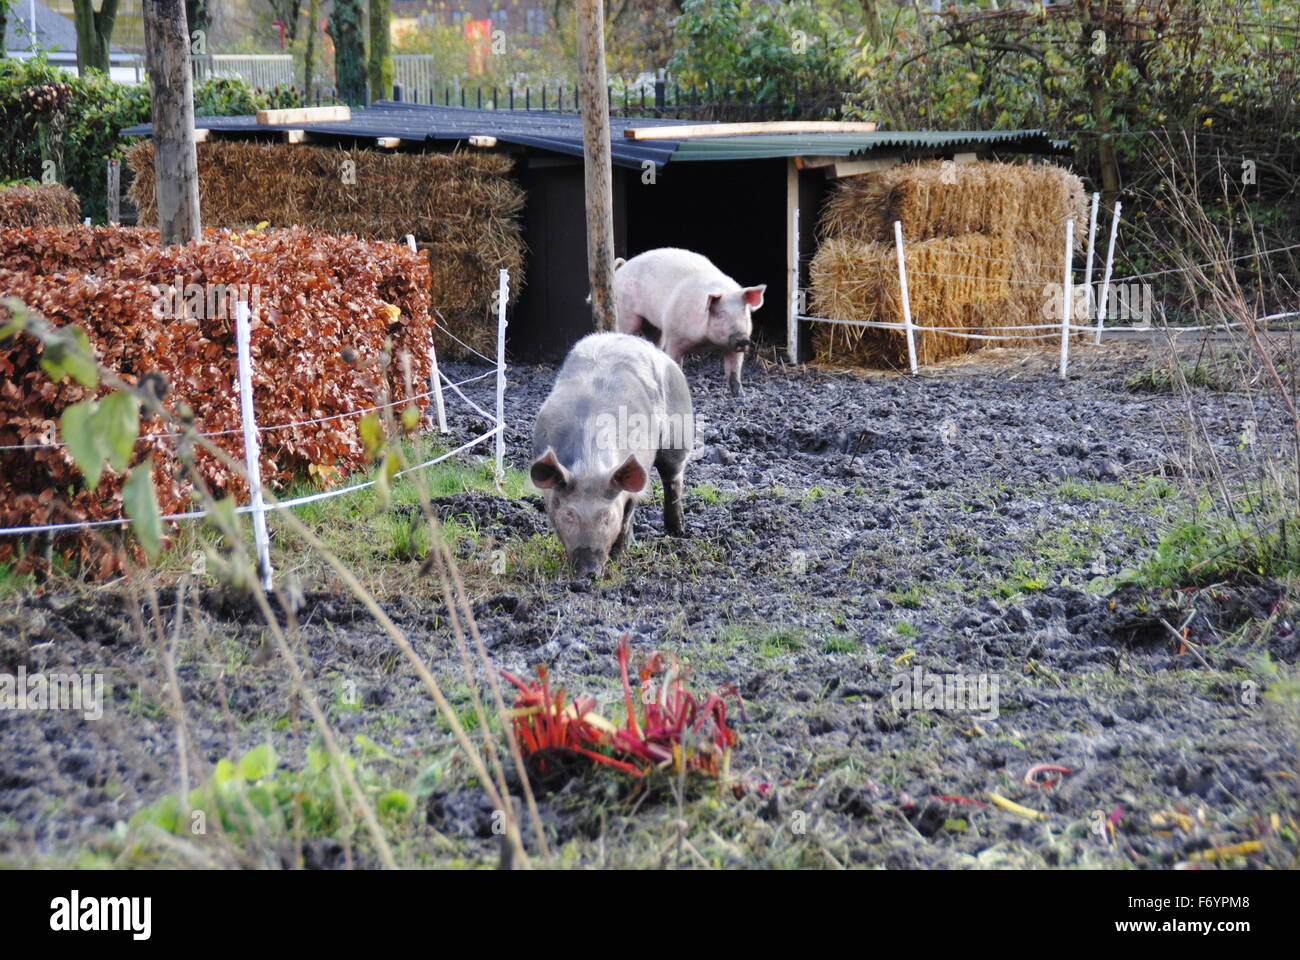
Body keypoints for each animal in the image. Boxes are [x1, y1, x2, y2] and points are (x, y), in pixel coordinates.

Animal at [608, 248, 759, 398]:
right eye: (722, 314)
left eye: (744, 313)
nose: (743, 339)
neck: (706, 342)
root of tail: (622, 268)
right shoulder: (674, 336)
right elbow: (675, 362)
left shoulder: (733, 348)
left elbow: (734, 371)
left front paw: (741, 395)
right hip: (625, 314)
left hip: (654, 326)